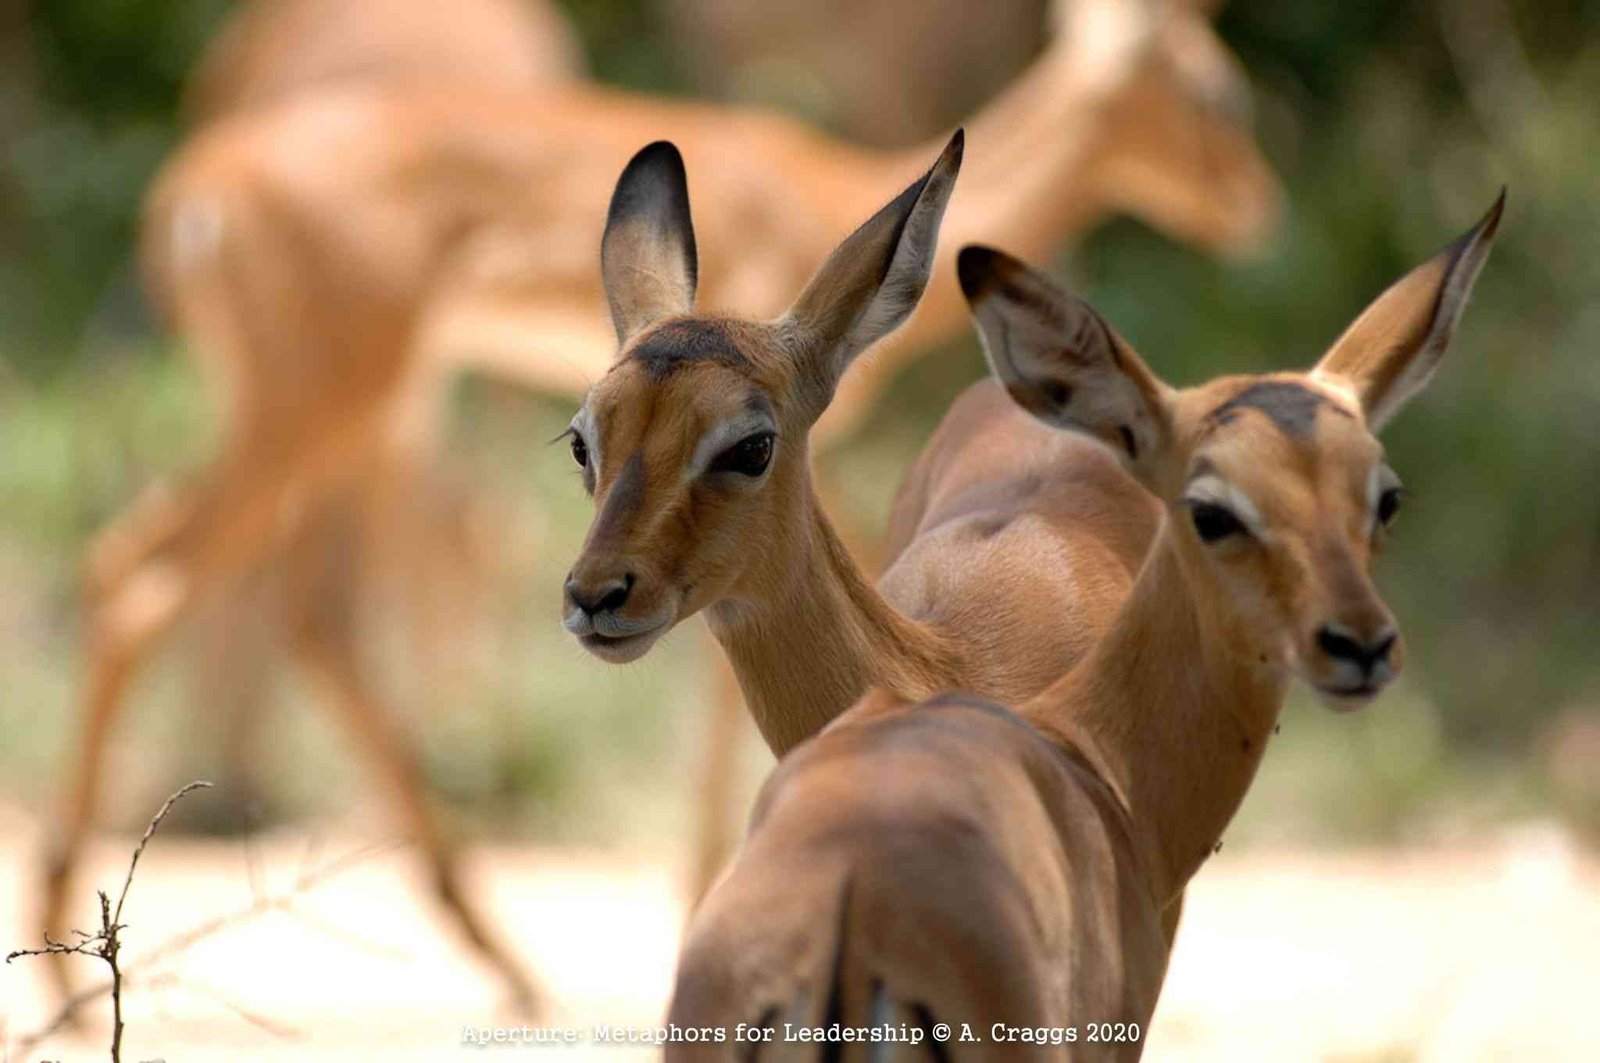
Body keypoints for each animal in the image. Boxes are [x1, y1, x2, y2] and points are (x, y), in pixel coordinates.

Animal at [44, 0, 1275, 1013]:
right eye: (582, 438)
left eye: (748, 441)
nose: (1250, 205)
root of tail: (195, 185)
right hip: (323, 411)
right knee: (148, 576)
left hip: (358, 419)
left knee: (286, 605)